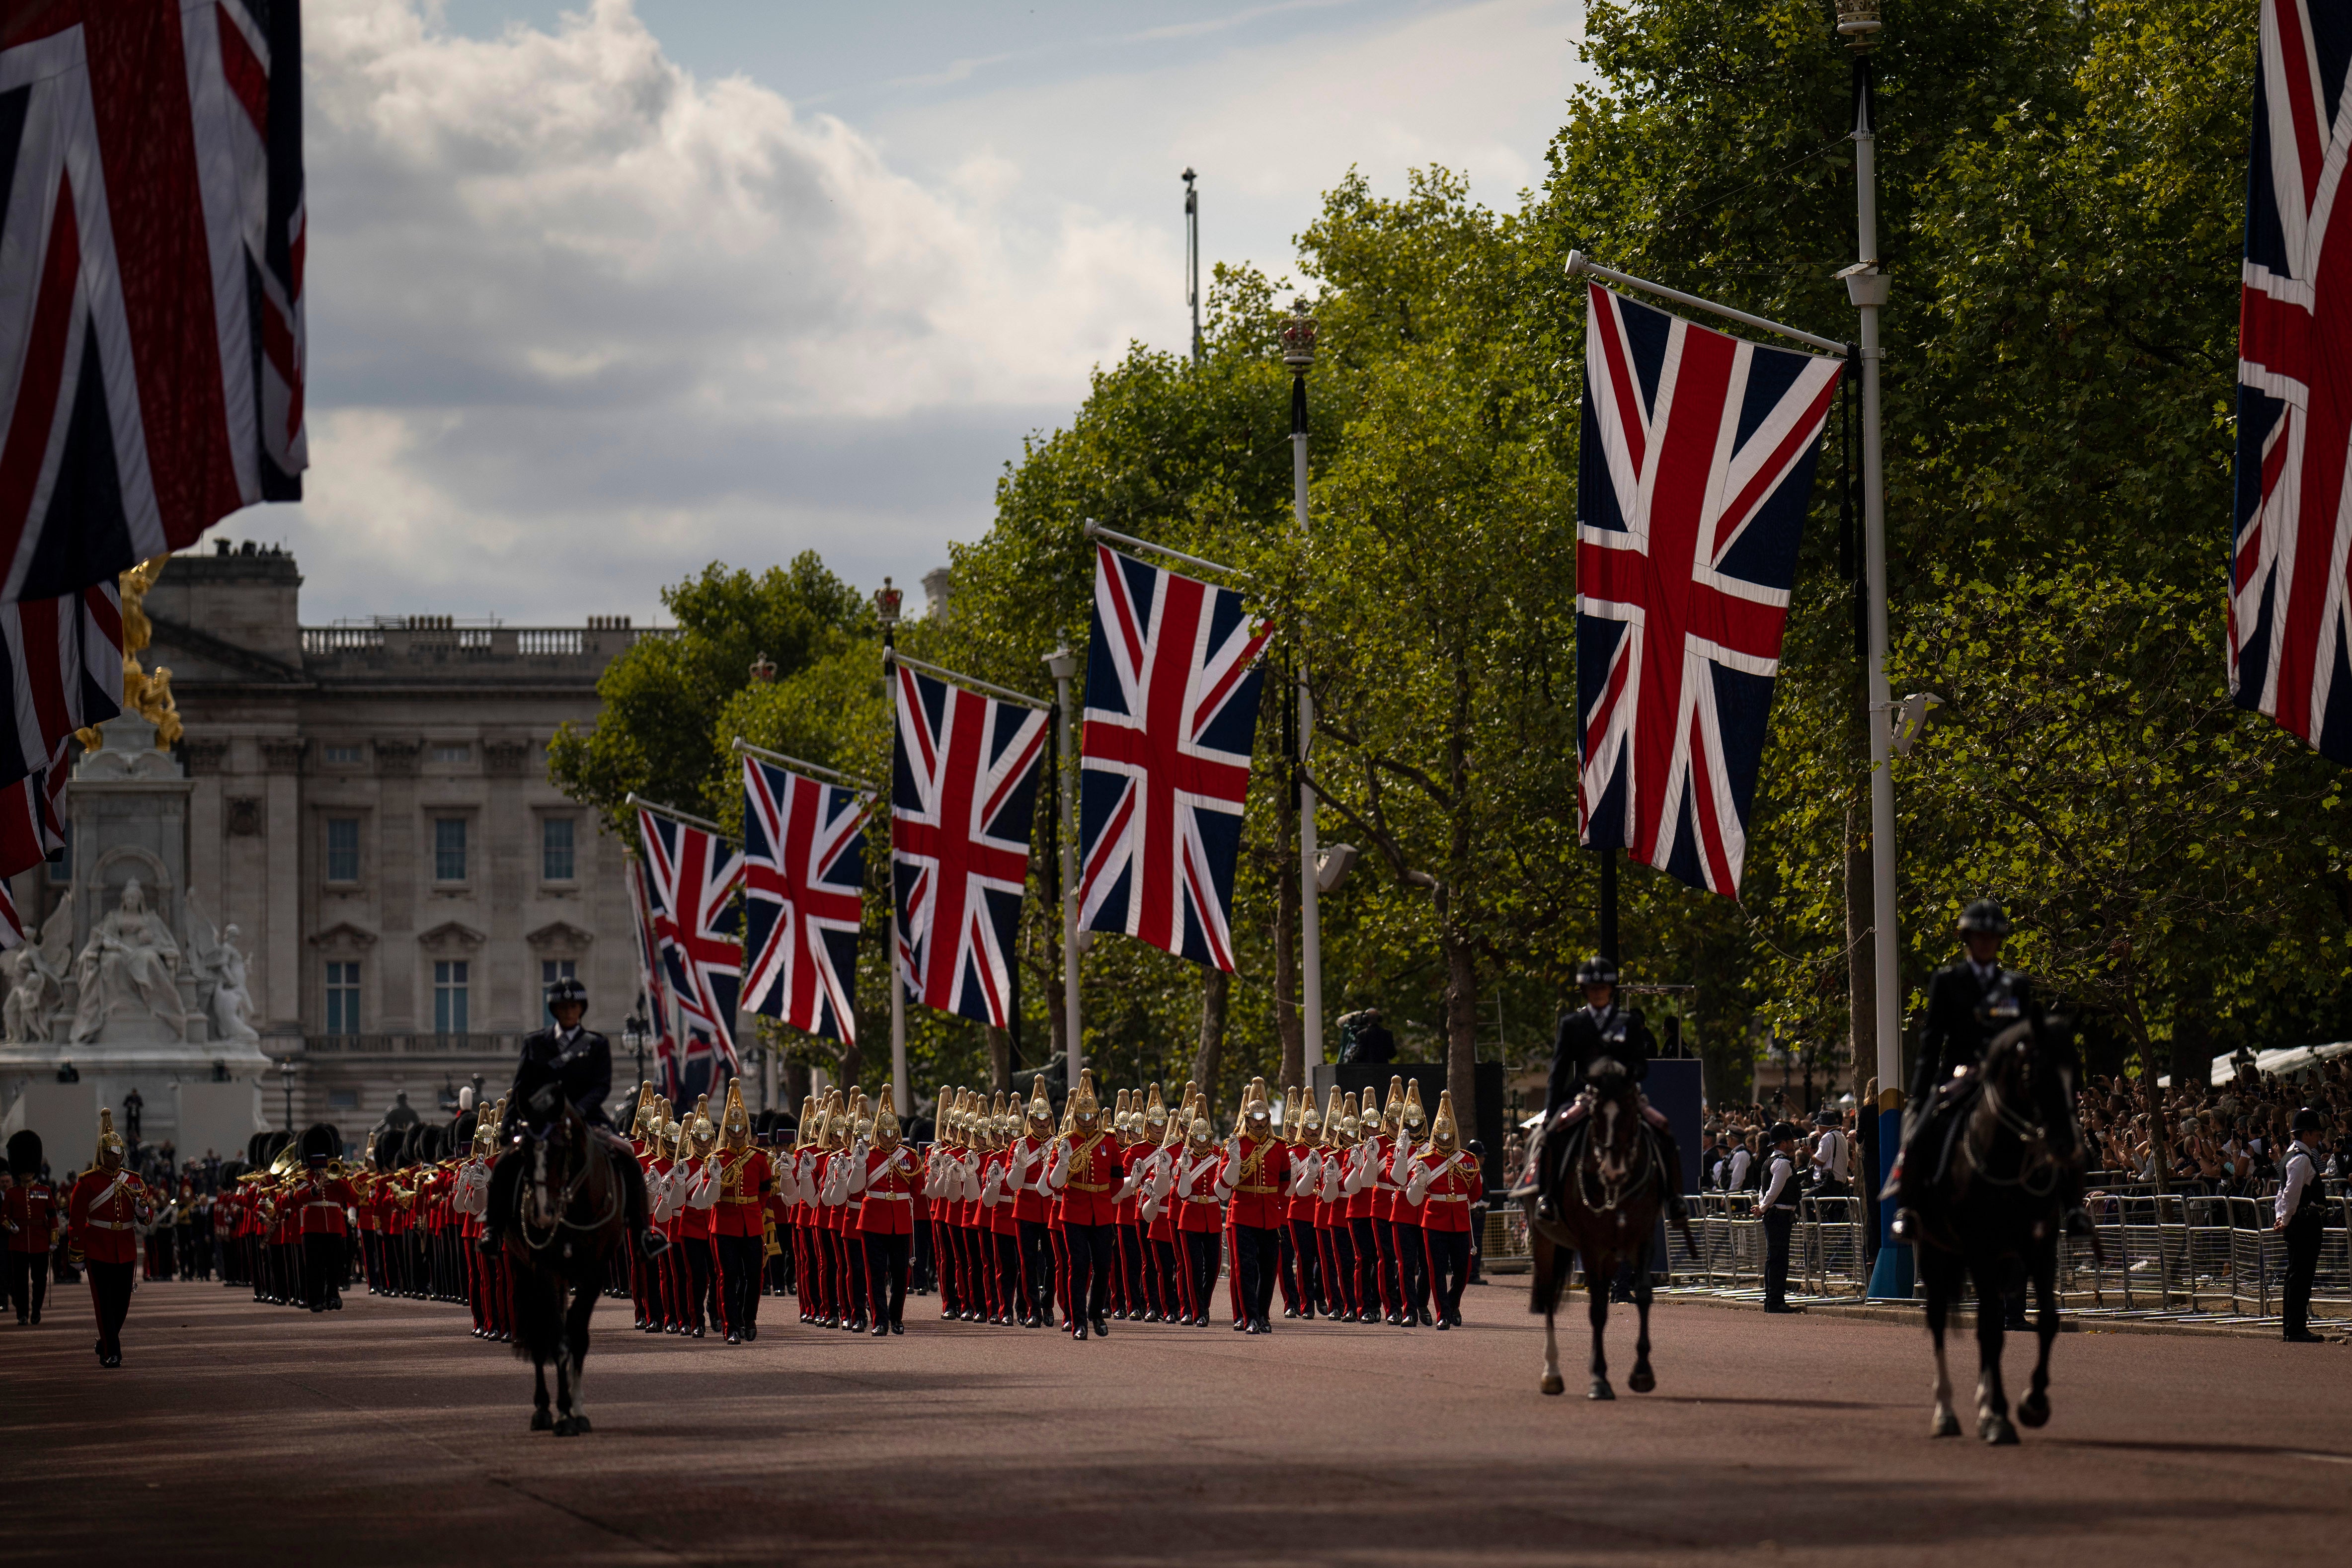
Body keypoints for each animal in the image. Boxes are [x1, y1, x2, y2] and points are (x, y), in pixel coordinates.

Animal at [498, 1081, 626, 1438]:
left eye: (560, 1148)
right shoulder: (545, 1269)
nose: (542, 1214)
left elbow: (577, 1337)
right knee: (539, 1334)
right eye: (525, 1150)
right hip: (524, 1268)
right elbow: (556, 1339)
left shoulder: (595, 1273)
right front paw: (563, 1413)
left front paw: (577, 1409)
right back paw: (543, 1408)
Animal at [1514, 1062, 1684, 1401]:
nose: (1613, 1168)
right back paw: (1552, 1374)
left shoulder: (1642, 1241)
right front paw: (1598, 1379)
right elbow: (1595, 1310)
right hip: (1546, 1242)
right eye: (1594, 1113)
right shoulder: (1592, 1246)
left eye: (1632, 1108)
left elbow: (1642, 1296)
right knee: (1549, 1295)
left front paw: (1642, 1373)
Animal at [1910, 1020, 2079, 1448]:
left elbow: (2045, 1319)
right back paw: (1946, 1411)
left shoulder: (2039, 1246)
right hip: (1935, 1251)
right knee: (1940, 1318)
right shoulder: (1981, 1249)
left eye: (2075, 1069)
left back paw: (1984, 1402)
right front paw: (2000, 1416)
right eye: (2033, 1073)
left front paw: (2031, 1402)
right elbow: (1988, 1328)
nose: (2066, 1145)